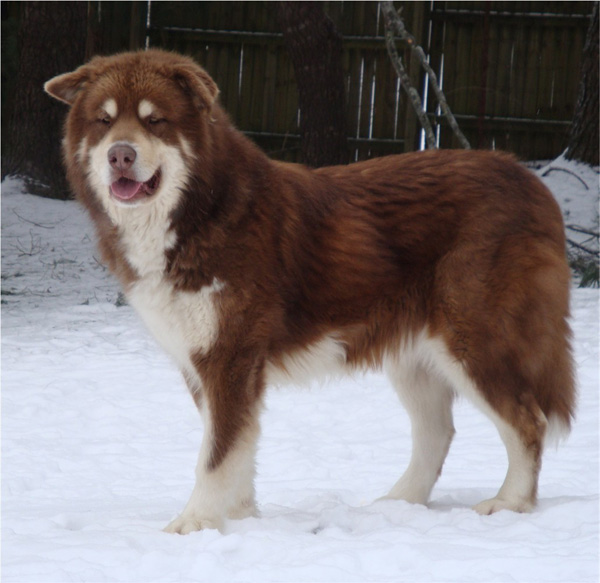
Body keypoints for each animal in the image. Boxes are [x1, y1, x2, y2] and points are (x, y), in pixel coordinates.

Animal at [43, 50, 576, 532]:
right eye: (103, 122)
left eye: (155, 122)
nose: (121, 154)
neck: (202, 209)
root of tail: (528, 178)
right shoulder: (204, 364)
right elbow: (236, 445)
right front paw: (240, 516)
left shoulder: (229, 356)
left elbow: (215, 454)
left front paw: (195, 522)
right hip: (416, 353)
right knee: (437, 431)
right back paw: (399, 504)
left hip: (473, 341)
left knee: (527, 422)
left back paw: (510, 503)